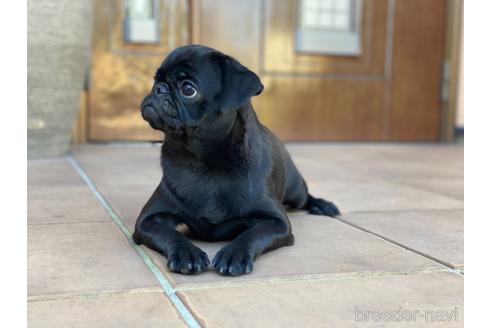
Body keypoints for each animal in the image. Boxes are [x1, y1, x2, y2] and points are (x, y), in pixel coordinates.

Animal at [133, 44, 340, 276]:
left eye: (188, 89)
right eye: (155, 80)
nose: (159, 89)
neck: (206, 163)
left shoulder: (278, 223)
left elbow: (252, 234)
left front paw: (234, 255)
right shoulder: (147, 220)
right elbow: (170, 234)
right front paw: (187, 253)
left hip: (296, 191)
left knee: (305, 197)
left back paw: (323, 205)